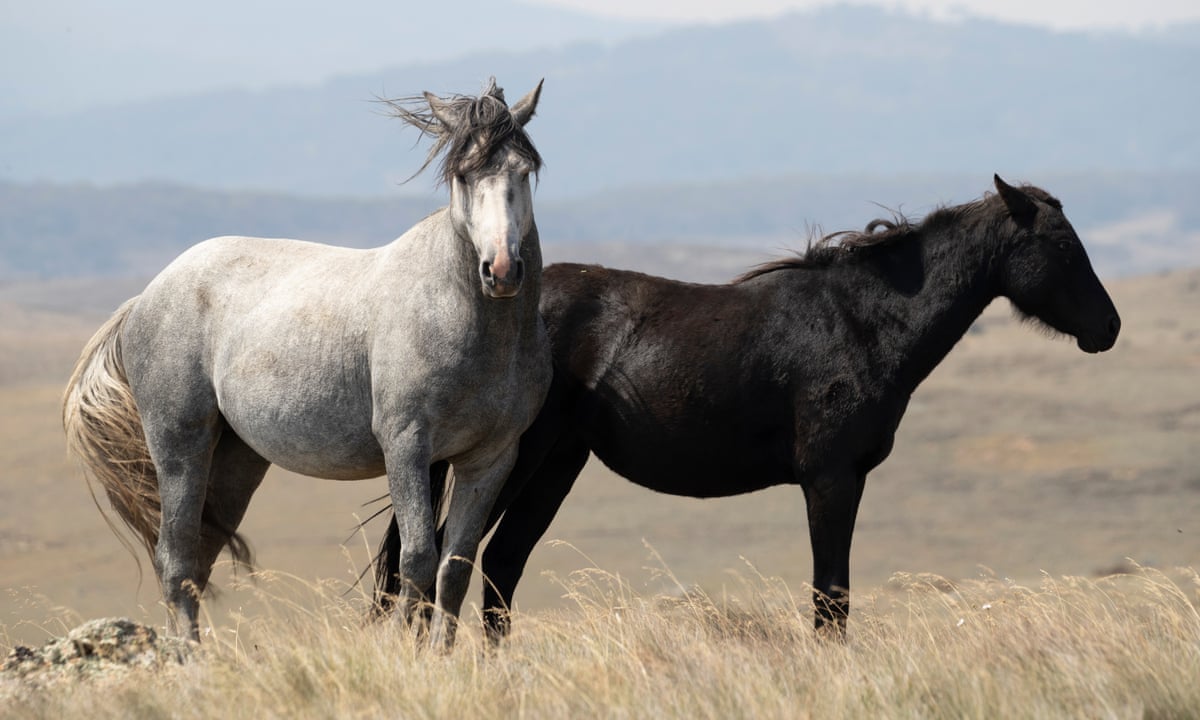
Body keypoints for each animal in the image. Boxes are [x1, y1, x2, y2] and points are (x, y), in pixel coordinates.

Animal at [63, 78, 552, 650]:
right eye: (463, 174)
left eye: (524, 170)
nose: (502, 269)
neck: (459, 315)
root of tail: (146, 296)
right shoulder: (407, 447)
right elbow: (416, 561)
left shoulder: (489, 458)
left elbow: (454, 566)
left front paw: (440, 657)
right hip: (178, 443)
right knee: (175, 557)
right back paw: (190, 660)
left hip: (235, 459)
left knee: (197, 558)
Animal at [375, 175, 1121, 640]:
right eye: (1059, 245)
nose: (1109, 327)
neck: (863, 323)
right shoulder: (831, 479)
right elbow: (830, 595)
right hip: (516, 457)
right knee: (451, 558)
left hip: (558, 462)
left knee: (500, 565)